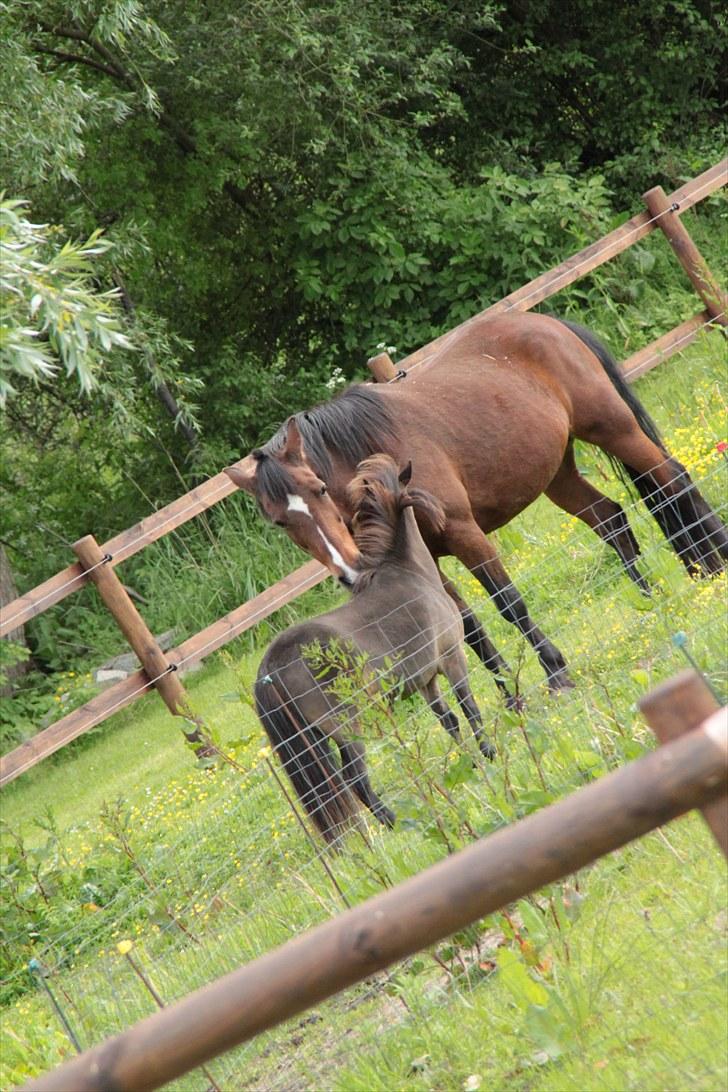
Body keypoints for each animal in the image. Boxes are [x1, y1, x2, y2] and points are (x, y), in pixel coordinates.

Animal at [229, 312, 728, 694]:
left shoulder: (463, 532)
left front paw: (556, 675)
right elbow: (467, 628)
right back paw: (651, 600)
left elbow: (508, 603)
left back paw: (714, 564)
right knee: (612, 519)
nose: (349, 573)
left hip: (613, 429)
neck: (368, 453)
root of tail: (544, 322)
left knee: (673, 480)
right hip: (559, 475)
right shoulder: (425, 558)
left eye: (318, 488)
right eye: (279, 522)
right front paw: (510, 696)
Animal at [256, 452, 495, 843]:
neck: (408, 571)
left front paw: (470, 760)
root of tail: (270, 669)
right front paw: (488, 752)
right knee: (354, 779)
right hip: (348, 728)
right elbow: (469, 707)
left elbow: (449, 720)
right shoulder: (451, 659)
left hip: (315, 740)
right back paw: (395, 822)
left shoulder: (425, 680)